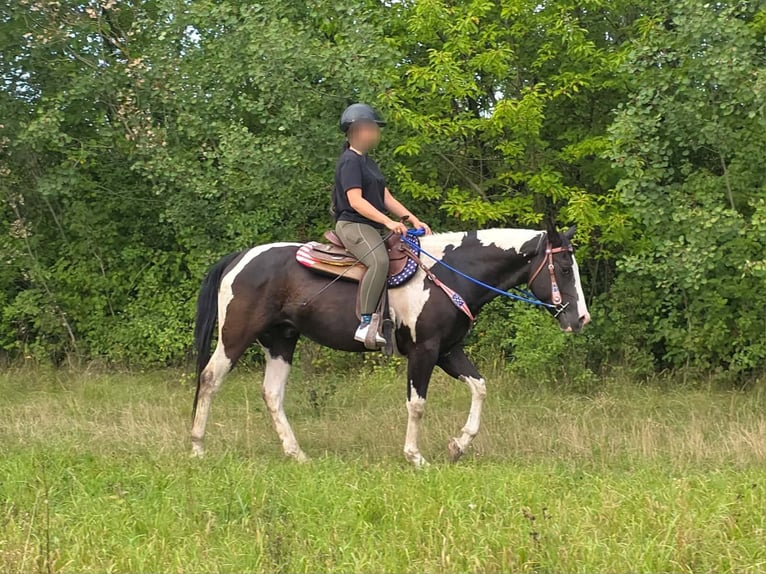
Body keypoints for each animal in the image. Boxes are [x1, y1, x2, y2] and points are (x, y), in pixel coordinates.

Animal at [191, 223, 590, 466]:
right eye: (564, 269)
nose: (581, 318)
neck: (450, 274)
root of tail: (239, 257)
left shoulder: (449, 351)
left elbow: (480, 387)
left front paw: (458, 446)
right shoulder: (424, 350)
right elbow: (417, 404)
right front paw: (415, 456)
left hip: (281, 341)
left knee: (272, 393)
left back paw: (296, 453)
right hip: (235, 336)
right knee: (210, 379)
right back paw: (197, 447)